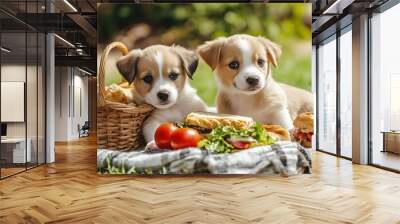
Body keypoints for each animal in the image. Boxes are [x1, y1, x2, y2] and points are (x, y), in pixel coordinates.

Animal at [117, 35, 314, 144]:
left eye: (260, 62)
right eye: (234, 65)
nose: (253, 79)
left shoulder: (280, 116)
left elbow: (287, 129)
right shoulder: (153, 120)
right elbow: (153, 131)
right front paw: (152, 144)